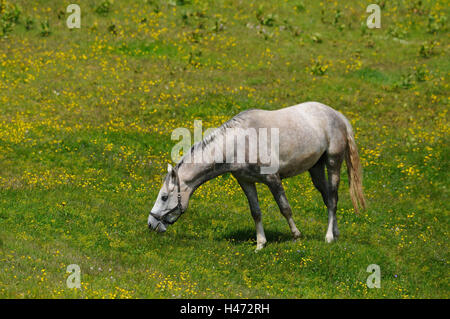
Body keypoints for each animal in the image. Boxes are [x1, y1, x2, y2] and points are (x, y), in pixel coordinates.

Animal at [148, 102, 366, 250]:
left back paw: (328, 237)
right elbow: (256, 212)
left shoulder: (273, 180)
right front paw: (260, 244)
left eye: (164, 197)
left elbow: (285, 208)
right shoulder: (246, 182)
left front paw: (296, 236)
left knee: (333, 199)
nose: (151, 224)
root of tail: (337, 115)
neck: (239, 142)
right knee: (328, 198)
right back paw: (335, 233)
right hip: (316, 169)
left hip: (333, 163)